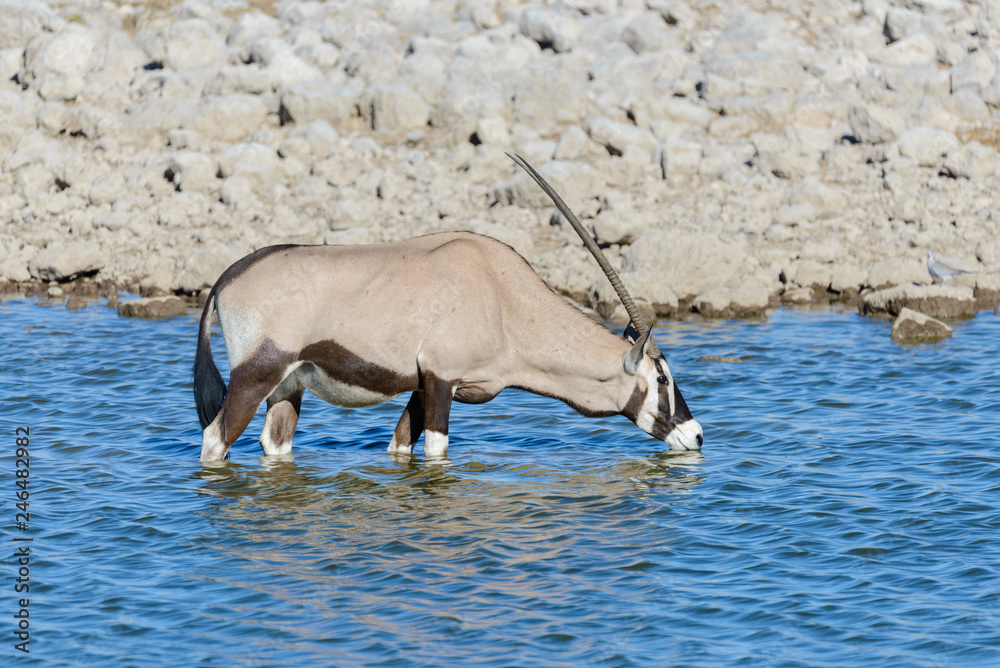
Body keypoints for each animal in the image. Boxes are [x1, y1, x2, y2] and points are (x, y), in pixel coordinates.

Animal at [193, 154, 703, 462]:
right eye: (661, 378)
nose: (696, 435)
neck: (503, 299)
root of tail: (228, 277)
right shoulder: (441, 380)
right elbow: (437, 451)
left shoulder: (423, 387)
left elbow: (400, 445)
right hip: (256, 375)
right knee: (215, 438)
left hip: (288, 385)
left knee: (274, 443)